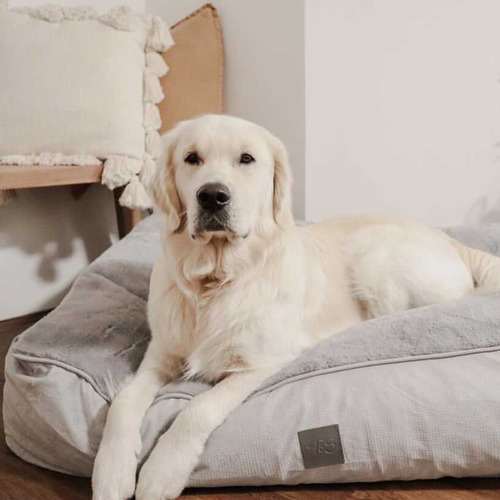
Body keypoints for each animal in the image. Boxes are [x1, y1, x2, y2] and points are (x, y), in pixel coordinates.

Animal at [92, 113, 500, 500]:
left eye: (247, 159)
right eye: (192, 158)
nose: (212, 196)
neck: (217, 279)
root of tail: (449, 239)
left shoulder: (260, 364)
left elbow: (197, 409)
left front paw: (161, 473)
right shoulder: (159, 356)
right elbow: (123, 403)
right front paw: (111, 473)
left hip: (374, 260)